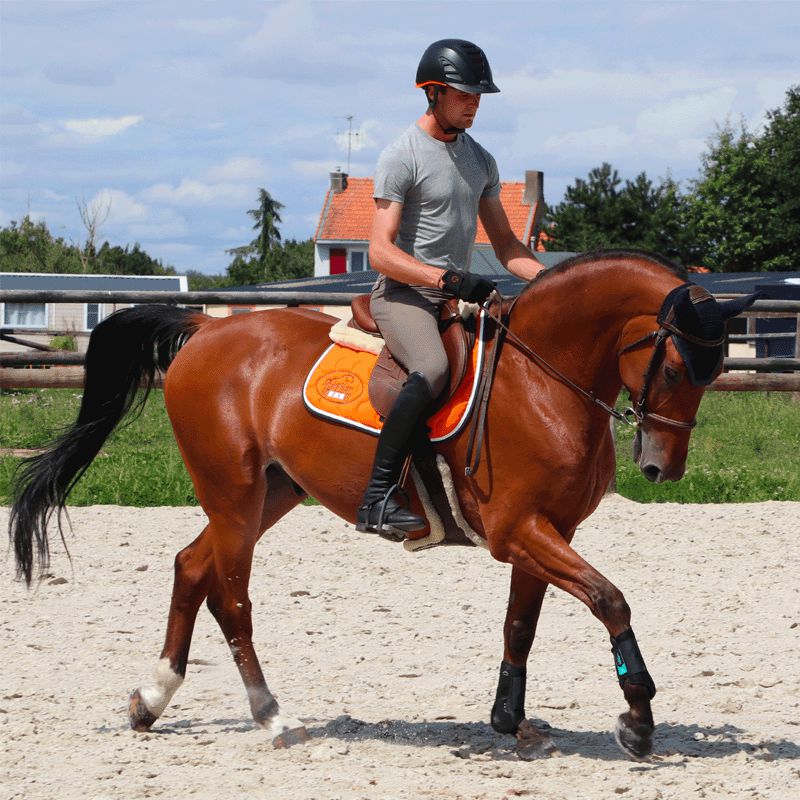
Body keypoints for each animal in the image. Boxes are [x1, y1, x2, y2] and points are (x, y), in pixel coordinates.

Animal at [6, 252, 756, 764]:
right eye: (674, 367)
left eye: (716, 369)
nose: (662, 467)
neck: (542, 377)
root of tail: (205, 330)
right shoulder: (519, 530)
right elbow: (610, 599)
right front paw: (638, 720)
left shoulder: (546, 529)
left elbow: (521, 623)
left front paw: (510, 720)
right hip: (233, 495)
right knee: (231, 595)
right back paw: (273, 716)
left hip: (270, 491)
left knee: (192, 566)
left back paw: (153, 698)